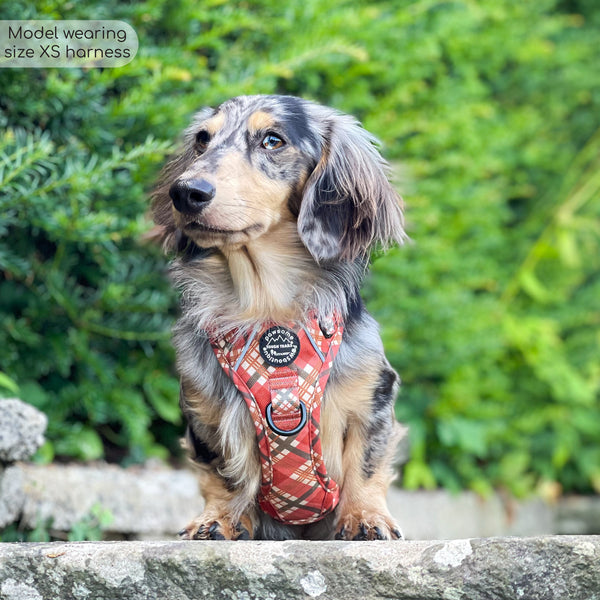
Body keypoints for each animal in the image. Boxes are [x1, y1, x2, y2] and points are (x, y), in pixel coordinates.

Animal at [152, 96, 406, 540]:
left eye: (273, 140)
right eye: (202, 140)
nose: (185, 192)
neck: (265, 307)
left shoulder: (372, 397)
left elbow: (366, 465)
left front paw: (365, 517)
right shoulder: (204, 413)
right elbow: (221, 474)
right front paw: (219, 518)